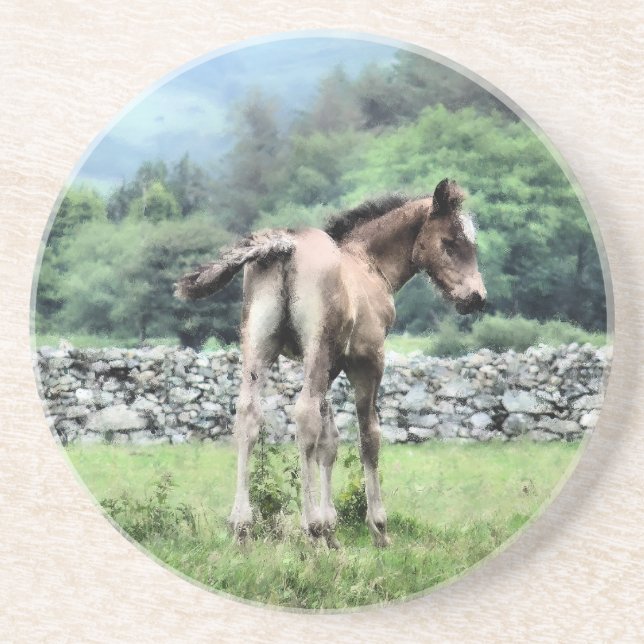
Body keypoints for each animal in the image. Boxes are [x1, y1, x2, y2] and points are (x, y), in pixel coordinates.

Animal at [175, 178, 486, 548]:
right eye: (451, 241)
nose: (476, 298)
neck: (369, 264)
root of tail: (285, 245)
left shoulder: (329, 364)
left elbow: (329, 441)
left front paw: (331, 532)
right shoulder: (366, 360)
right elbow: (368, 436)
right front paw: (376, 529)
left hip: (259, 344)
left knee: (249, 414)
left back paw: (242, 528)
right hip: (317, 347)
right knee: (304, 415)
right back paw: (308, 528)